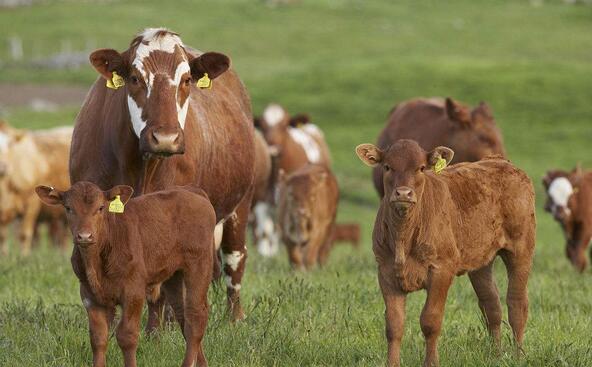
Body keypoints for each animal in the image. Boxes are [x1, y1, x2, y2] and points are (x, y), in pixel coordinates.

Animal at [0, 121, 71, 256]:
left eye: (10, 144)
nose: (3, 166)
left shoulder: (31, 204)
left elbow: (24, 235)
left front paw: (24, 257)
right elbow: (3, 237)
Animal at [35, 182, 215, 367]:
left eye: (101, 207)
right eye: (68, 208)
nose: (84, 236)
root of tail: (192, 191)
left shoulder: (133, 291)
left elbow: (127, 336)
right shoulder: (89, 295)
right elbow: (98, 337)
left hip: (199, 264)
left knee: (195, 316)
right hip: (173, 275)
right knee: (182, 315)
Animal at [356, 140, 536, 367]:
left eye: (421, 168)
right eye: (387, 167)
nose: (403, 193)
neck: (404, 235)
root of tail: (499, 161)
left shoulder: (441, 269)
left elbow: (430, 320)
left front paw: (431, 362)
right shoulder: (386, 271)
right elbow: (394, 324)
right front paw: (392, 363)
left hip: (521, 249)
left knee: (517, 303)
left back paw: (518, 355)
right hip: (480, 261)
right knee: (491, 304)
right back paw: (495, 354)